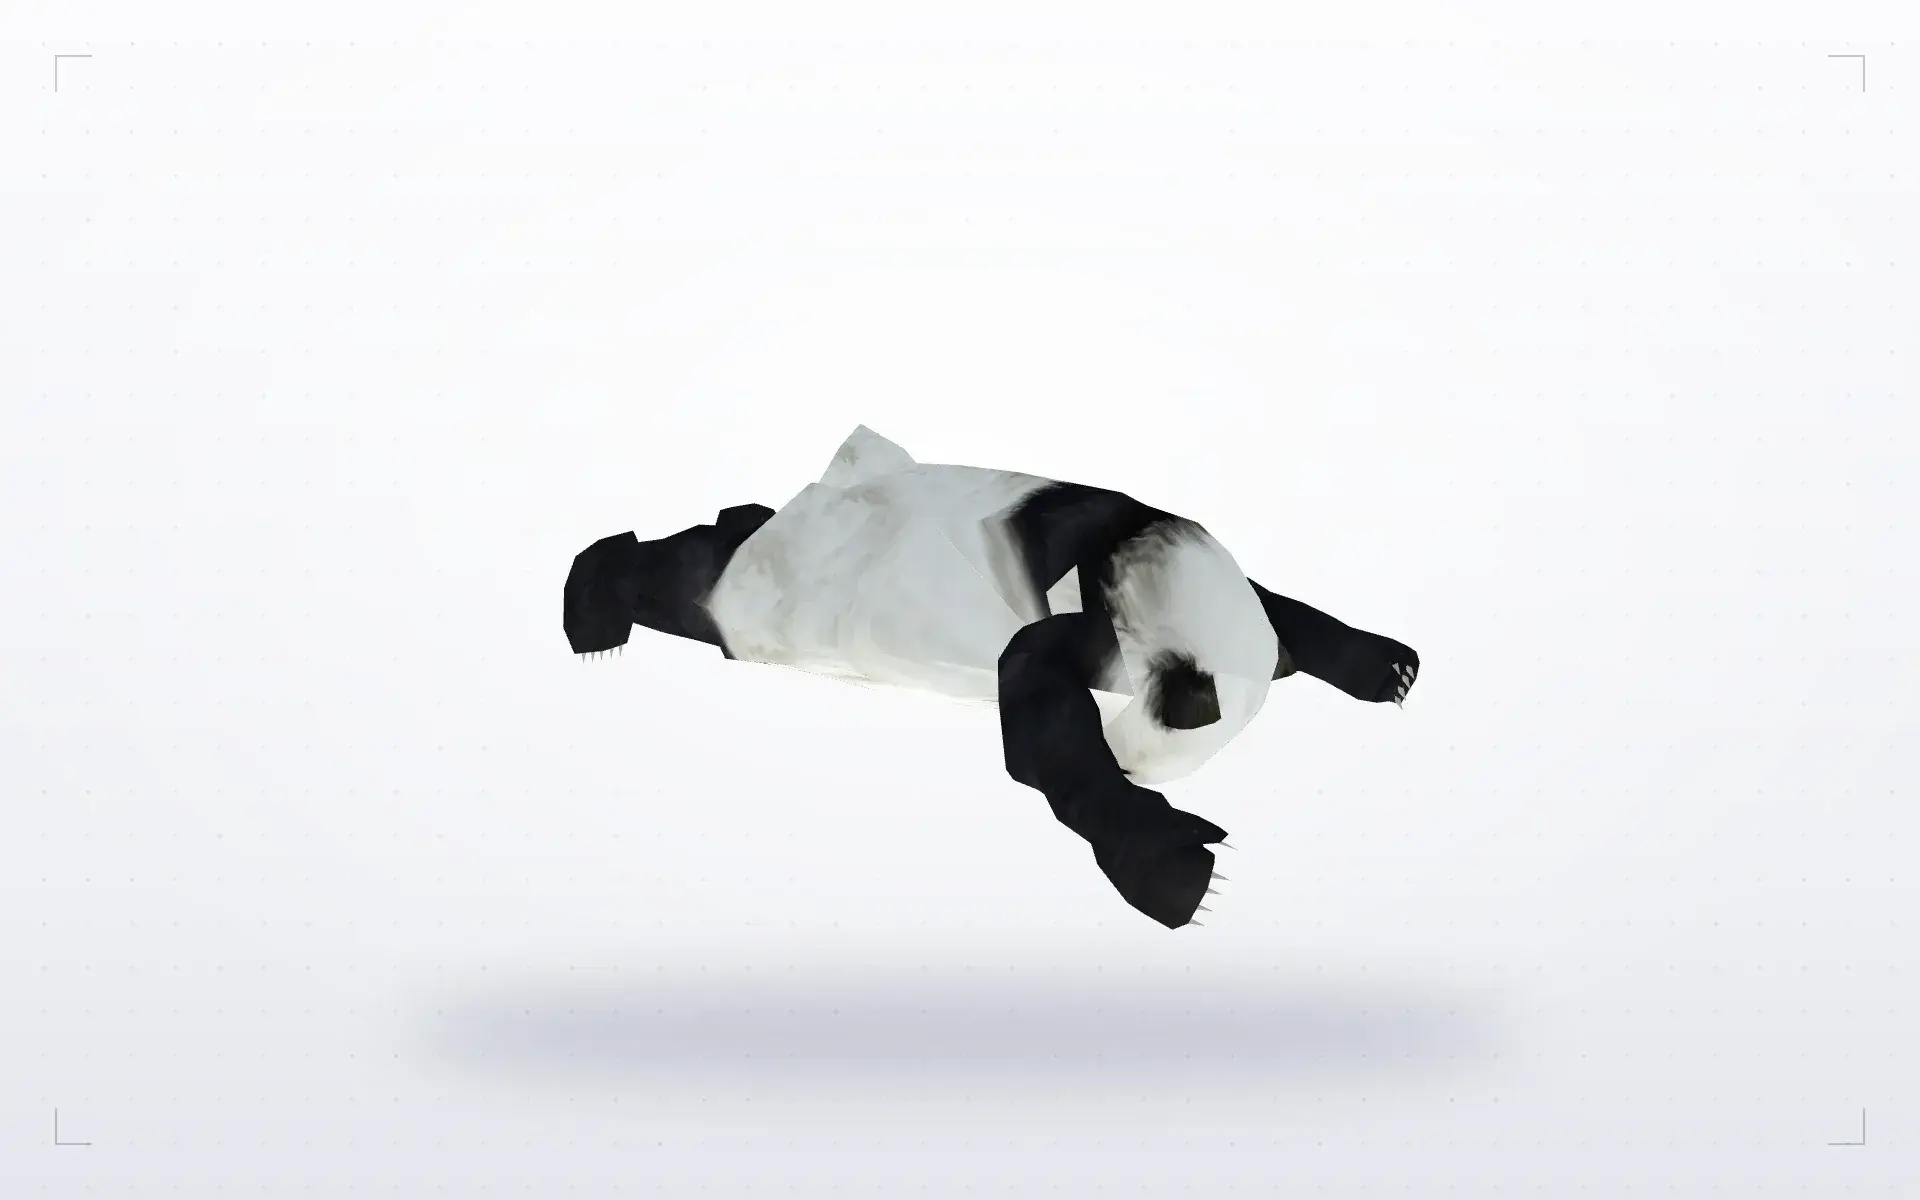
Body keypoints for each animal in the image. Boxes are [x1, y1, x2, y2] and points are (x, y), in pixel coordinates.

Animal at [562, 426, 1420, 930]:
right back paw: (593, 601)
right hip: (760, 587)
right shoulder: (1090, 606)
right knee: (681, 573)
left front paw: (1389, 666)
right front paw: (1173, 869)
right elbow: (1042, 714)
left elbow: (1293, 617)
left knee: (720, 535)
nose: (1136, 761)